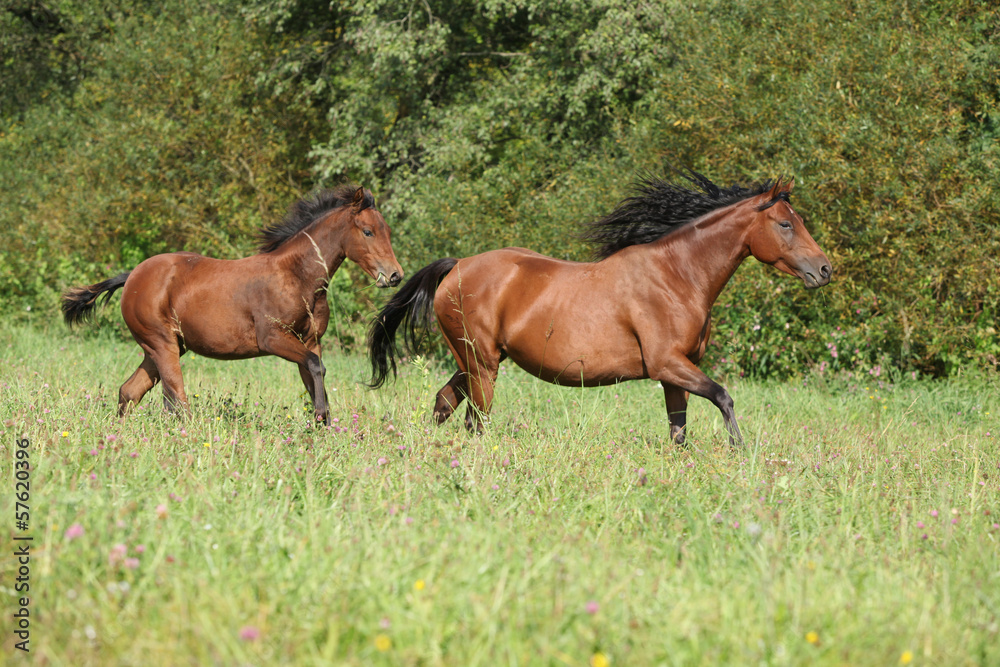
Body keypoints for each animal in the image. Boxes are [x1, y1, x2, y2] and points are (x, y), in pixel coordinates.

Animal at [63, 185, 403, 425]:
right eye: (368, 231)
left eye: (387, 231)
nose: (395, 275)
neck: (296, 275)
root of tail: (133, 275)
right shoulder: (273, 338)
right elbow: (315, 367)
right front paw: (320, 418)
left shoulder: (311, 340)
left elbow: (314, 372)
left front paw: (323, 425)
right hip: (161, 344)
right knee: (176, 400)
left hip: (163, 347)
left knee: (130, 391)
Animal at [367, 172, 831, 446]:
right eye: (785, 223)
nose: (825, 269)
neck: (677, 276)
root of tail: (458, 266)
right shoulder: (667, 363)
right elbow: (723, 396)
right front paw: (739, 449)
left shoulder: (676, 372)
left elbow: (678, 430)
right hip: (482, 363)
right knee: (475, 419)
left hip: (474, 361)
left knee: (446, 403)